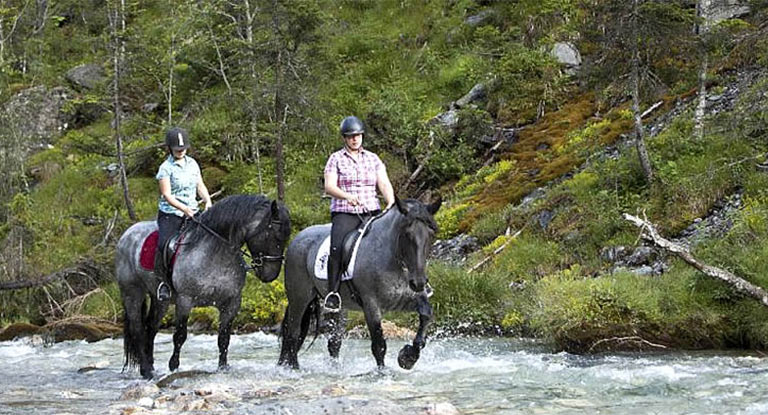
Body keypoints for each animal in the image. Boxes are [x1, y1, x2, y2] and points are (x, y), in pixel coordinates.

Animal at [115, 195, 292, 380]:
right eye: (274, 235)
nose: (270, 275)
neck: (215, 253)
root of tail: (127, 234)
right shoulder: (185, 301)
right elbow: (180, 336)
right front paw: (174, 366)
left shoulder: (232, 303)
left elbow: (224, 338)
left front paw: (223, 368)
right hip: (132, 293)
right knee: (137, 329)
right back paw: (146, 371)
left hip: (160, 301)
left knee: (151, 328)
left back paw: (150, 367)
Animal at [280, 197, 440, 370]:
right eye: (406, 234)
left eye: (431, 234)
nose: (419, 282)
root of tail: (297, 238)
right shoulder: (371, 304)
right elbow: (379, 345)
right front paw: (383, 372)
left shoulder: (406, 301)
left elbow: (426, 314)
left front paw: (408, 357)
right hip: (300, 298)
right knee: (293, 333)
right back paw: (293, 368)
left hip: (338, 308)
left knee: (334, 342)